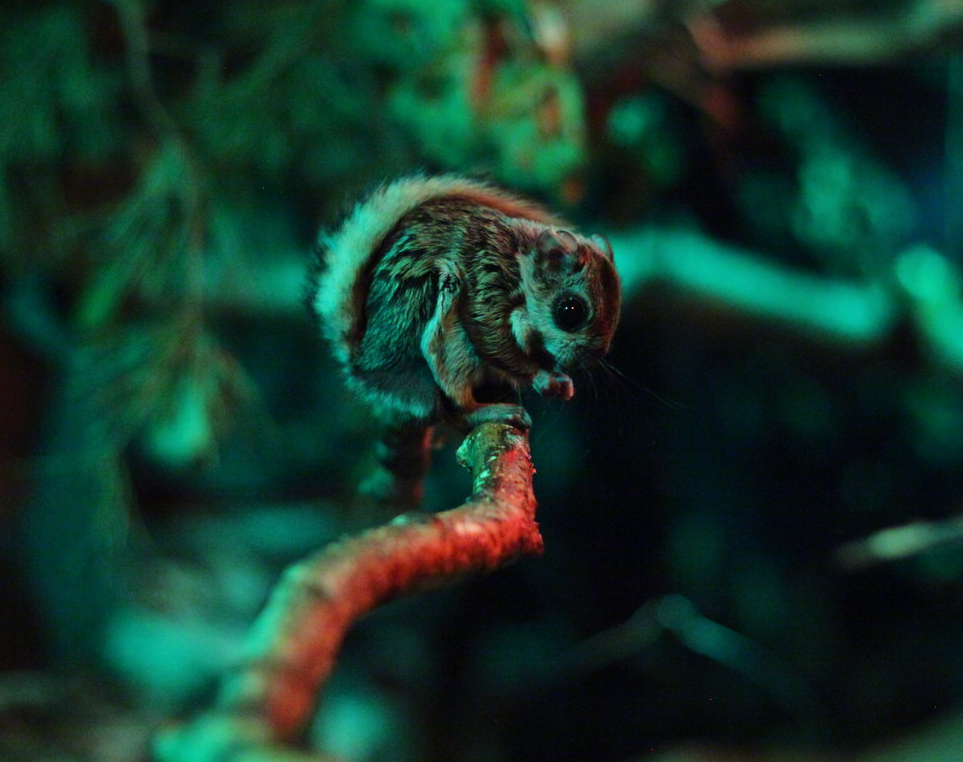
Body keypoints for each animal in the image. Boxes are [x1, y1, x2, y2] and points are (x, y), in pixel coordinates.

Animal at [309, 174, 621, 504]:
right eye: (570, 311)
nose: (589, 358)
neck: (521, 264)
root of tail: (365, 366)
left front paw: (561, 380)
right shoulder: (487, 281)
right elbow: (492, 339)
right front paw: (544, 378)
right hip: (445, 321)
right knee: (455, 411)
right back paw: (490, 410)